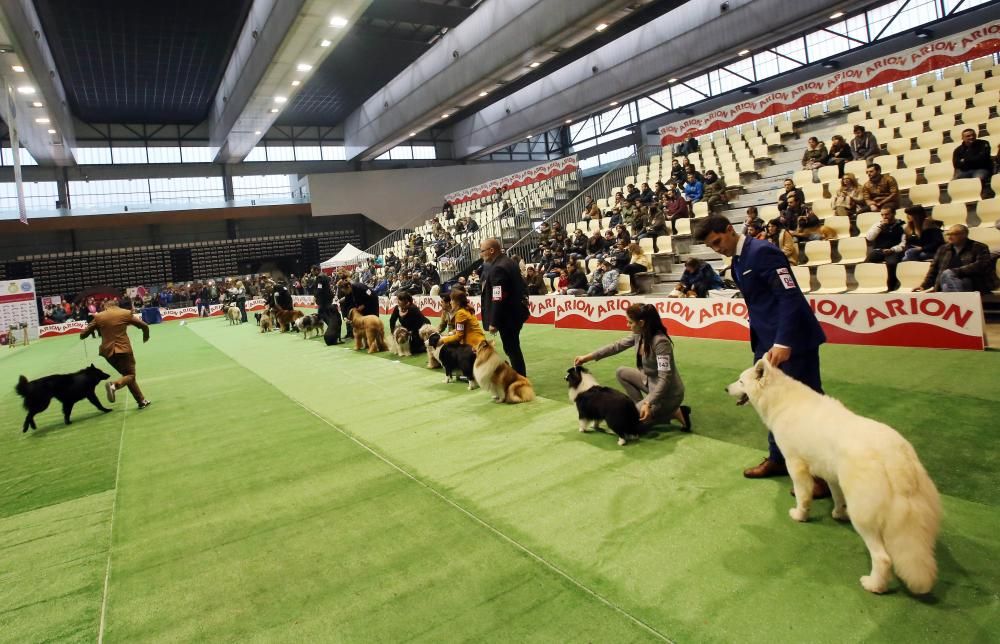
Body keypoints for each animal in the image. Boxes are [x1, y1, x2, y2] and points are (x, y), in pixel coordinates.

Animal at [728, 358, 936, 592]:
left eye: (740, 381)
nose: (726, 388)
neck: (782, 400)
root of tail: (895, 458)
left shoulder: (795, 464)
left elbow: (803, 495)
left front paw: (800, 515)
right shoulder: (831, 474)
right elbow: (836, 496)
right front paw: (838, 513)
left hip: (863, 515)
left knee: (882, 558)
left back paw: (873, 585)